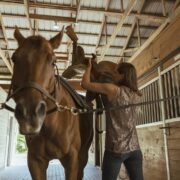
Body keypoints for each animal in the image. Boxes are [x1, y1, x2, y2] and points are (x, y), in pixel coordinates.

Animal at [10, 27, 93, 180]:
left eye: (53, 62)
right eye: (14, 58)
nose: (30, 115)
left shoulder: (72, 160)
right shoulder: (35, 161)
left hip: (83, 156)